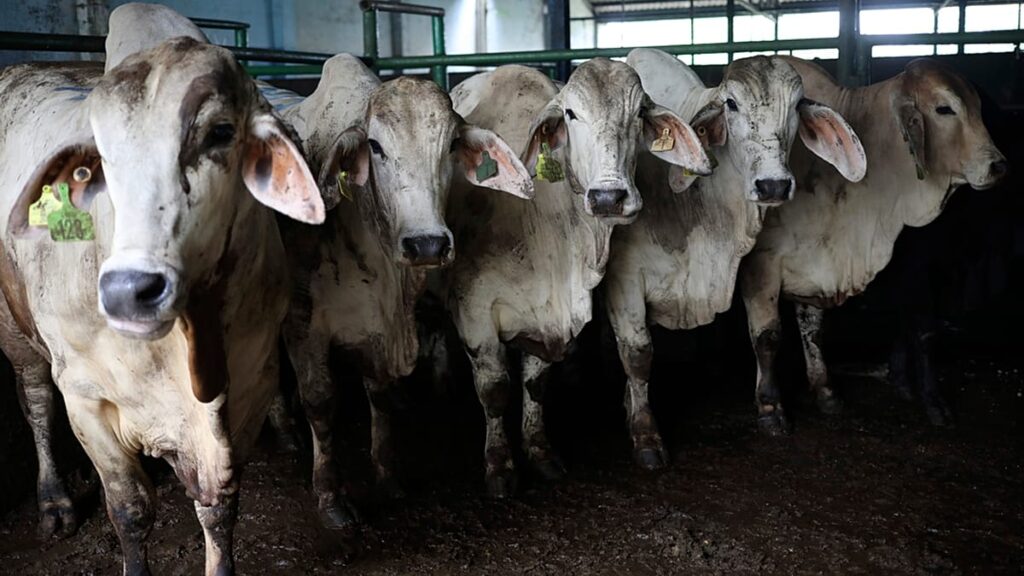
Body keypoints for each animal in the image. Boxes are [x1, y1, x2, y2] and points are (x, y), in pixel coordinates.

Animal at [0, 4, 325, 575]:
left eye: (221, 131)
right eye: (95, 160)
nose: (129, 290)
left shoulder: (253, 380)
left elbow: (219, 511)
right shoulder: (85, 396)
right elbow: (130, 509)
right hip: (14, 331)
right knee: (37, 402)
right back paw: (55, 501)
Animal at [270, 55, 534, 527]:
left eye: (451, 144)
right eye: (375, 147)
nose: (427, 244)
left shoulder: (380, 327)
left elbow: (380, 396)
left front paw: (386, 474)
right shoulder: (302, 325)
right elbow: (320, 401)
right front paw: (330, 496)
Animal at [445, 61, 712, 496]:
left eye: (639, 113)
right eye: (570, 114)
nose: (608, 198)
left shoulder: (547, 315)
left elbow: (535, 385)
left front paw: (539, 452)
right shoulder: (474, 312)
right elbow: (494, 390)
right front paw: (500, 467)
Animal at [603, 48, 865, 469]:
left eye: (796, 105)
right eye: (731, 104)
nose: (773, 185)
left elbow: (767, 334)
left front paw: (772, 410)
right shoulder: (623, 280)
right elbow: (638, 355)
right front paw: (645, 435)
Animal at [740, 57, 1007, 434]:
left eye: (980, 108)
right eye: (944, 109)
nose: (998, 164)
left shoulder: (816, 264)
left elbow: (814, 330)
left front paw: (825, 390)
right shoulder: (761, 265)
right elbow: (767, 337)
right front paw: (770, 407)